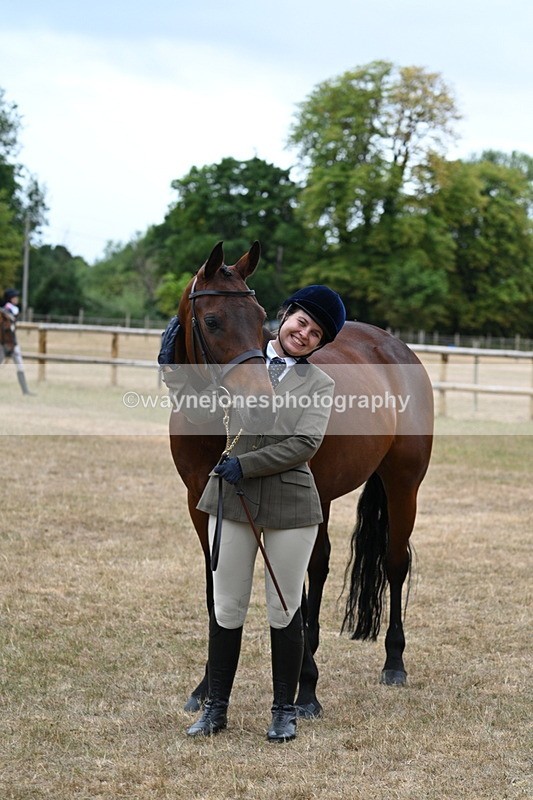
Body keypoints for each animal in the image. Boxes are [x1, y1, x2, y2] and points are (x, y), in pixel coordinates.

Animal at [168, 241, 434, 718]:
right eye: (212, 320)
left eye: (260, 317)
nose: (260, 401)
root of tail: (393, 345)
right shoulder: (201, 504)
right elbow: (217, 589)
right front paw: (204, 688)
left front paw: (304, 689)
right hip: (321, 497)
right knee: (321, 566)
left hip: (403, 484)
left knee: (394, 562)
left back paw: (391, 664)